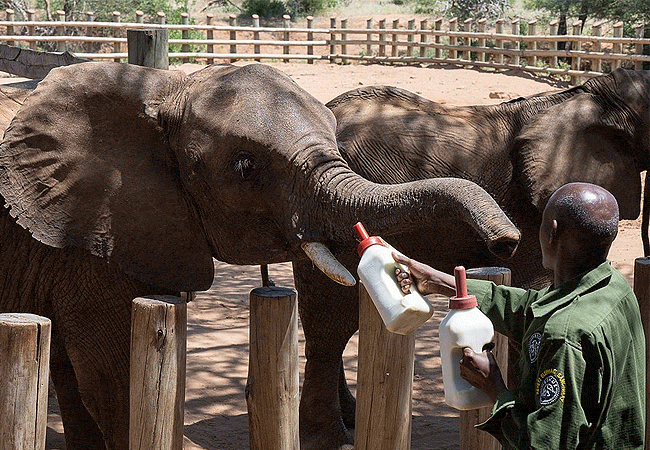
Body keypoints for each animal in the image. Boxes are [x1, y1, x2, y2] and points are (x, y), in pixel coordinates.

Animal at [0, 61, 521, 450]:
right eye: (245, 166)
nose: (507, 239)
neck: (166, 88)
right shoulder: (90, 229)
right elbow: (113, 377)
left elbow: (80, 371)